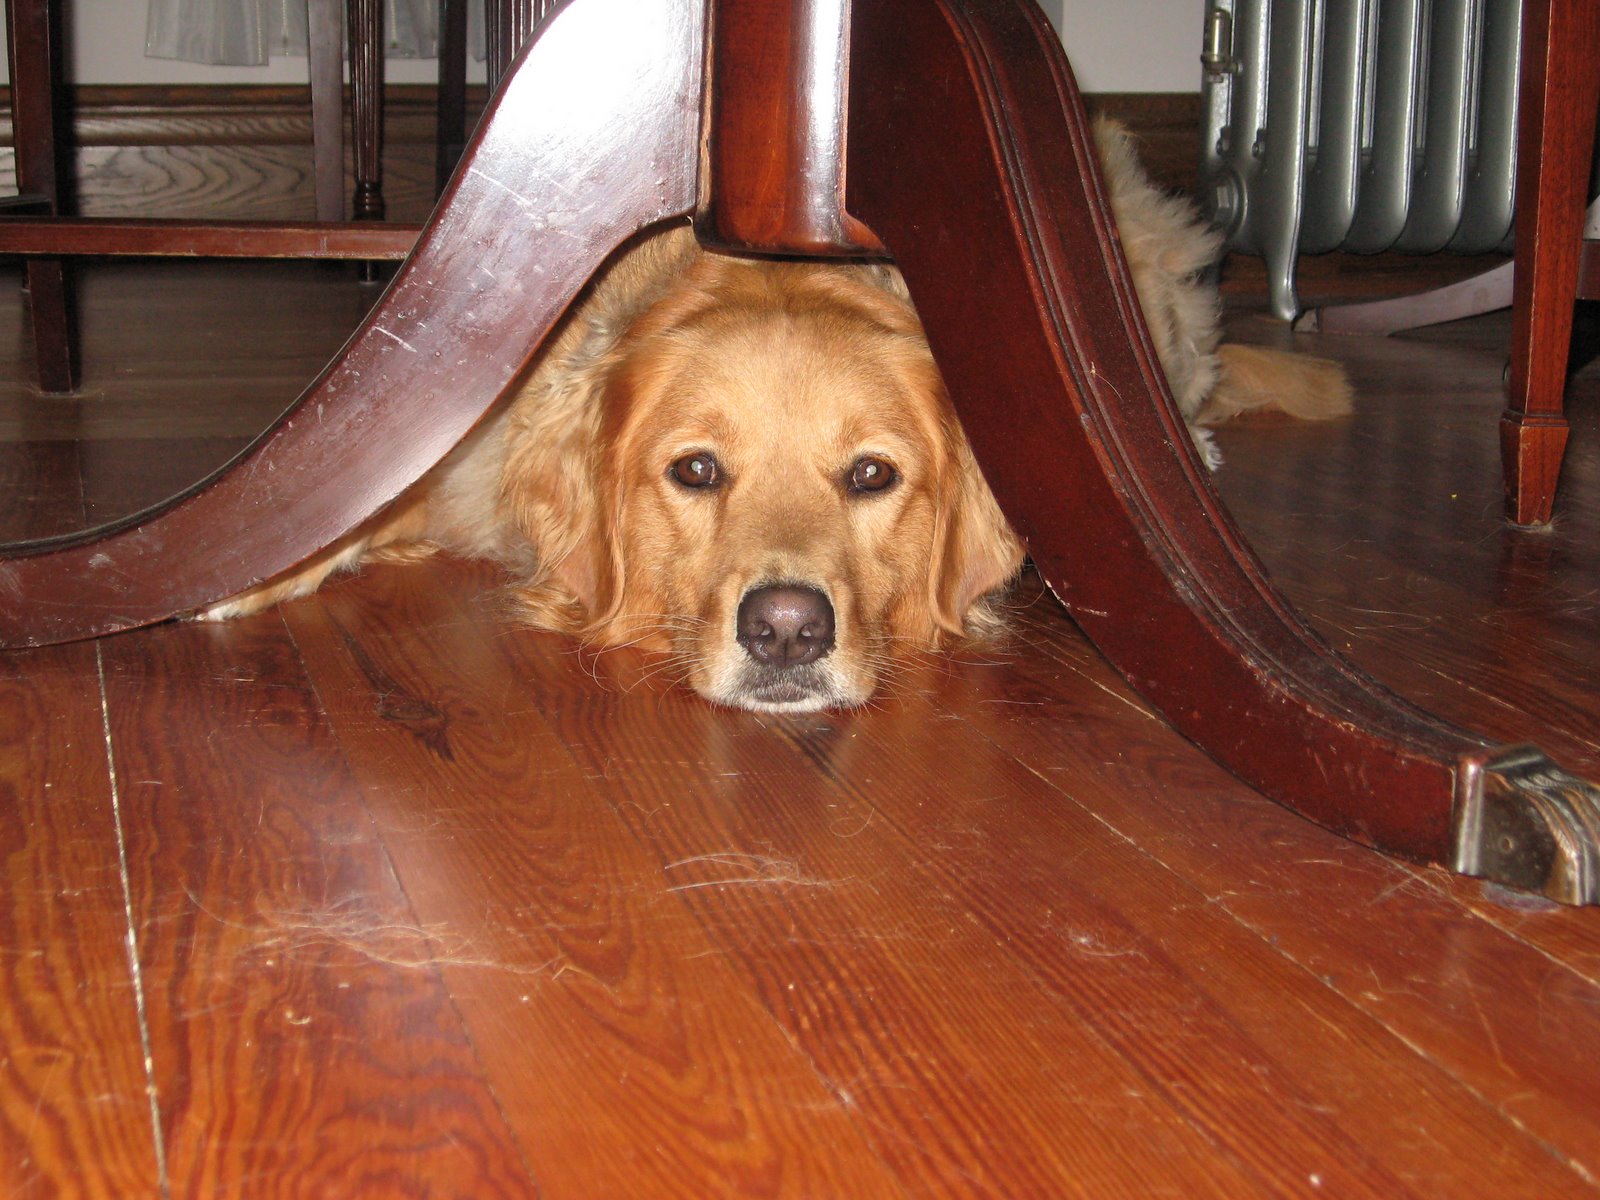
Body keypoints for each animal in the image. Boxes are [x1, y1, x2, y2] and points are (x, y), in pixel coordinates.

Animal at [204, 119, 1350, 713]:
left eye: (873, 476)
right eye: (697, 471)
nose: (789, 631)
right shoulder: (470, 436)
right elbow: (355, 501)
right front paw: (243, 565)